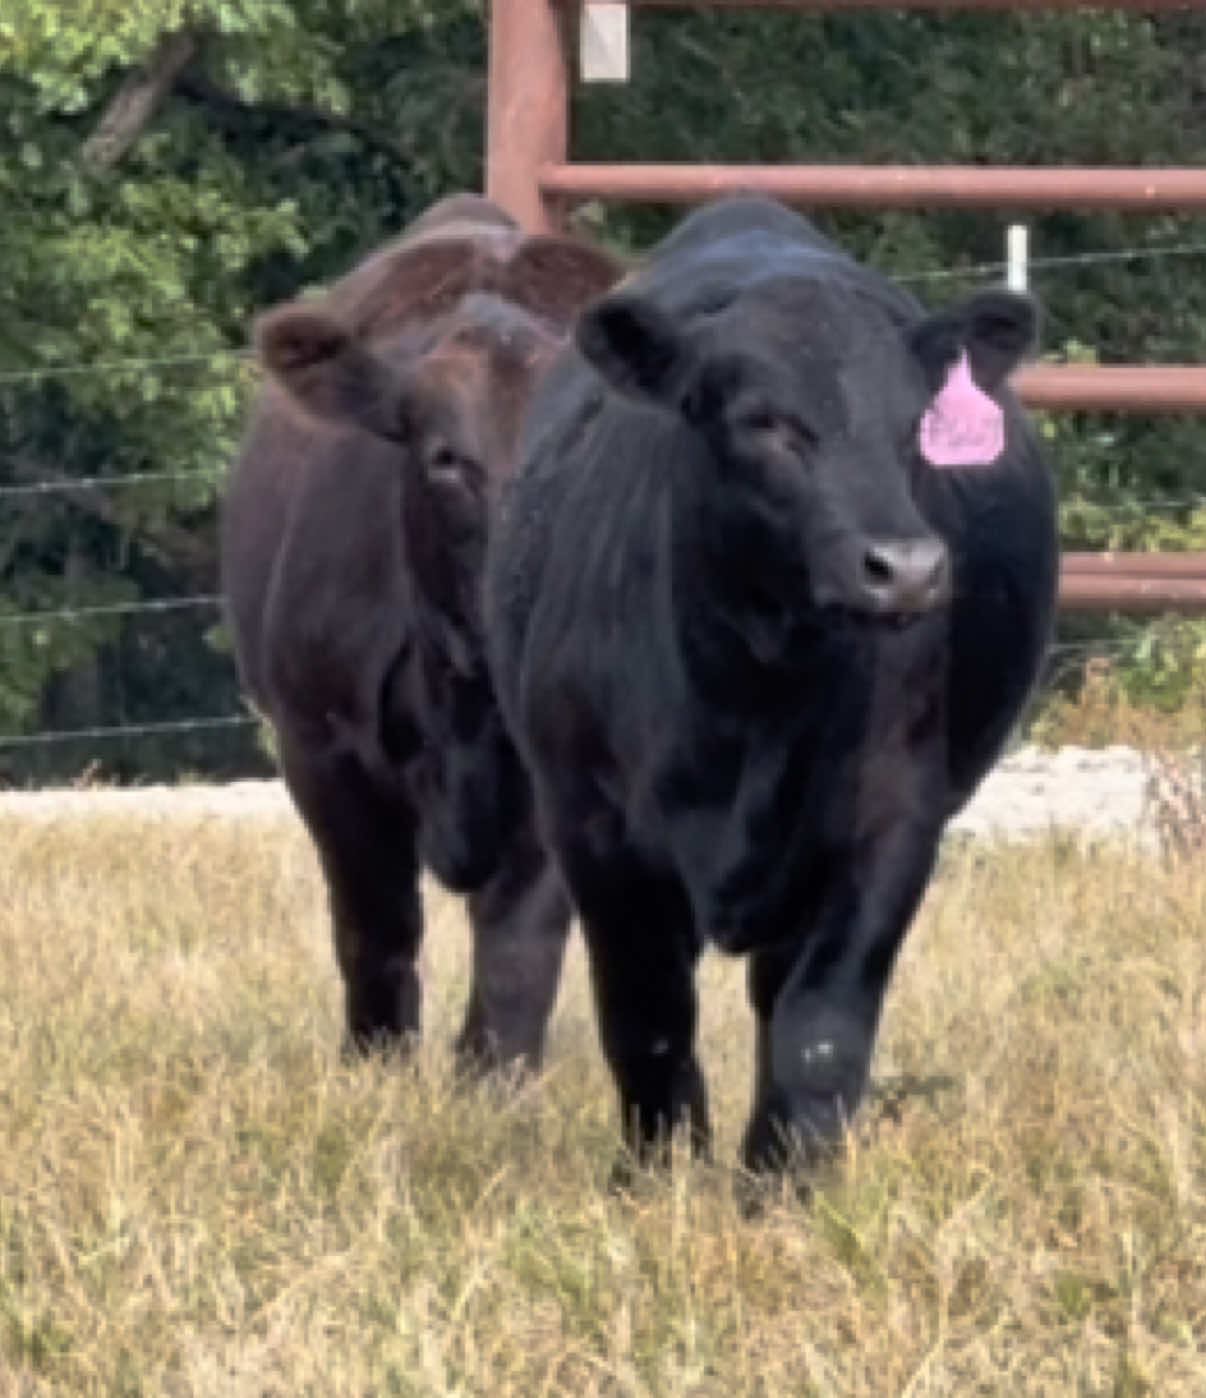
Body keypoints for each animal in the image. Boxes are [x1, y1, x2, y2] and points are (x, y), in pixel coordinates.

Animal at [220, 194, 623, 1072]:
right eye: (445, 459)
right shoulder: (319, 746)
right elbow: (375, 924)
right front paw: (376, 1067)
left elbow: (518, 942)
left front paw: (493, 1079)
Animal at [484, 195, 1058, 1179]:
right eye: (766, 422)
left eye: (914, 424)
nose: (905, 568)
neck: (750, 687)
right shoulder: (592, 826)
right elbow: (646, 1020)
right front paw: (657, 1179)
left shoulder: (891, 820)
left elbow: (820, 1031)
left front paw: (785, 1183)